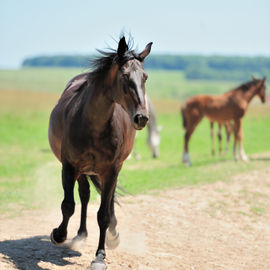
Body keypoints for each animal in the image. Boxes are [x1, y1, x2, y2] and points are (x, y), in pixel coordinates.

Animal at [48, 36, 152, 270]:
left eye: (145, 77)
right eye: (124, 76)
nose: (141, 118)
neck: (93, 125)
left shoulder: (111, 170)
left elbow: (103, 214)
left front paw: (100, 256)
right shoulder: (69, 167)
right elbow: (68, 205)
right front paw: (58, 235)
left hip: (109, 170)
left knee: (107, 198)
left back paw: (112, 233)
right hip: (83, 171)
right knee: (84, 195)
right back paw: (80, 235)